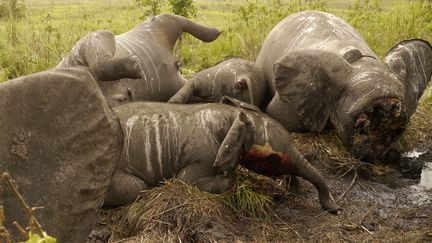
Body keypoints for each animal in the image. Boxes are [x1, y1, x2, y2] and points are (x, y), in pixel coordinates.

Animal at [57, 13, 219, 106]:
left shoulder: (91, 41)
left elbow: (101, 64)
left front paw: (135, 67)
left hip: (159, 23)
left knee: (175, 19)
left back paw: (215, 32)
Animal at [104, 97, 340, 215]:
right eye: (273, 159)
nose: (335, 209)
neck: (230, 115)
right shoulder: (203, 155)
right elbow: (186, 180)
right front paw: (229, 176)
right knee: (134, 188)